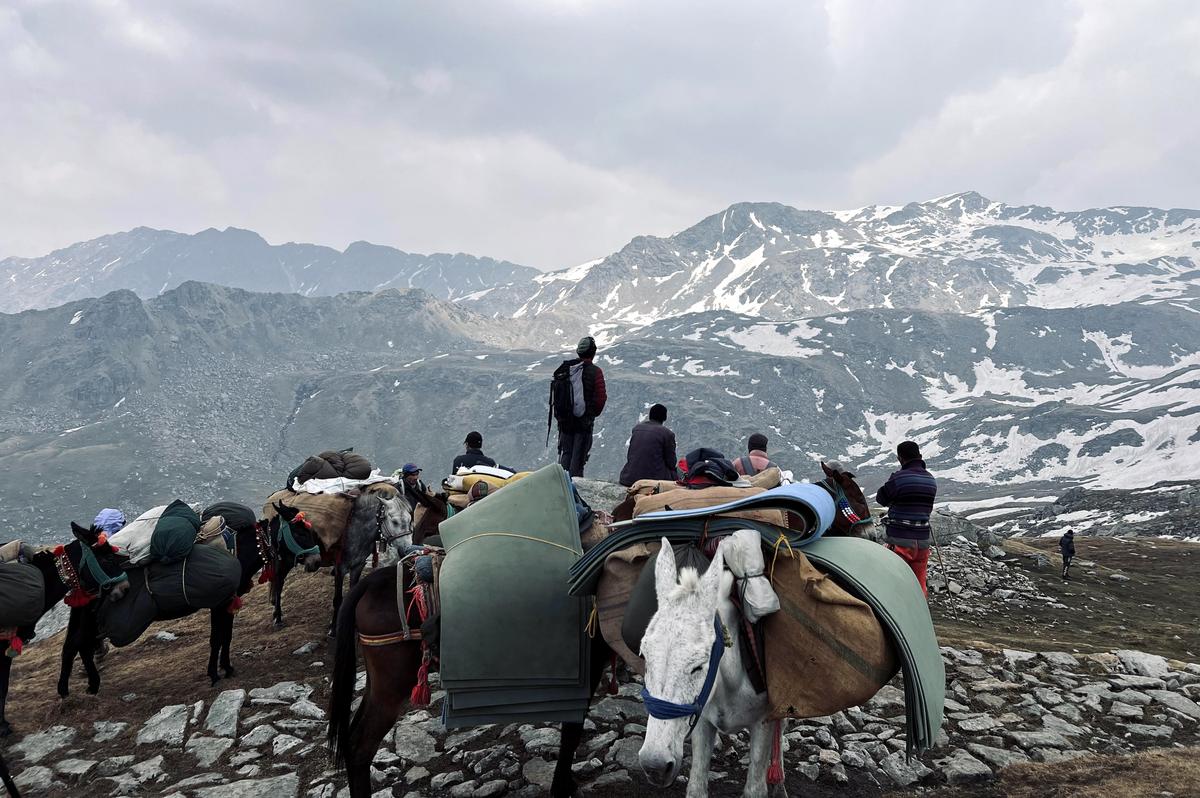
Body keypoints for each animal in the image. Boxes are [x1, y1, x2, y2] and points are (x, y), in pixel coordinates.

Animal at [328, 559, 609, 796]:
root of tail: (369, 583)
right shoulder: (588, 666)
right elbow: (572, 729)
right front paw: (563, 785)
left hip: (377, 685)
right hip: (391, 689)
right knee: (360, 747)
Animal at [638, 528, 787, 796]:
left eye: (698, 666)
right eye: (644, 656)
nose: (654, 766)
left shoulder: (763, 723)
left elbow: (755, 788)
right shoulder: (702, 721)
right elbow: (696, 786)